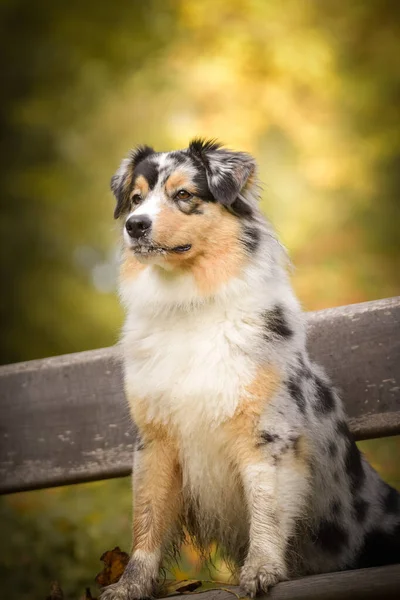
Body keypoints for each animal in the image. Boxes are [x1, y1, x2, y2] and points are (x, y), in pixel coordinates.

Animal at [101, 138, 400, 596]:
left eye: (183, 194)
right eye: (136, 199)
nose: (134, 225)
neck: (189, 305)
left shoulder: (266, 432)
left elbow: (266, 508)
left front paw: (261, 569)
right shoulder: (156, 440)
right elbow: (147, 520)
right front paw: (130, 585)